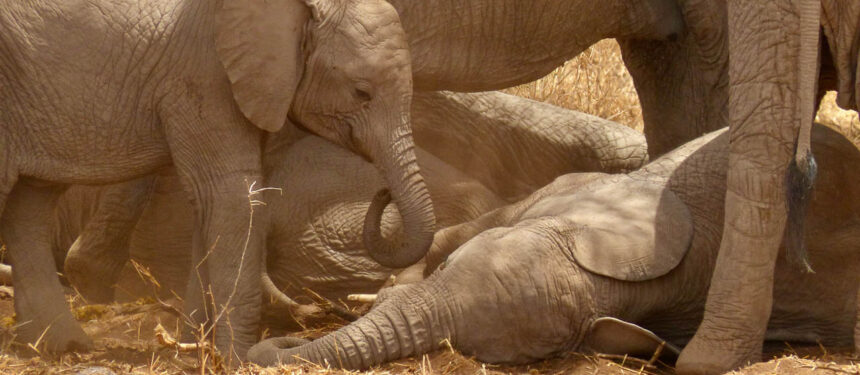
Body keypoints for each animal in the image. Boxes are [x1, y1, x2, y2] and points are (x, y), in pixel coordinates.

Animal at [0, 0, 430, 362]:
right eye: (362, 92)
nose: (383, 191)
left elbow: (214, 206)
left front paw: (194, 347)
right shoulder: (206, 79)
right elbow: (232, 196)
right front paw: (237, 359)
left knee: (31, 204)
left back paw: (59, 347)